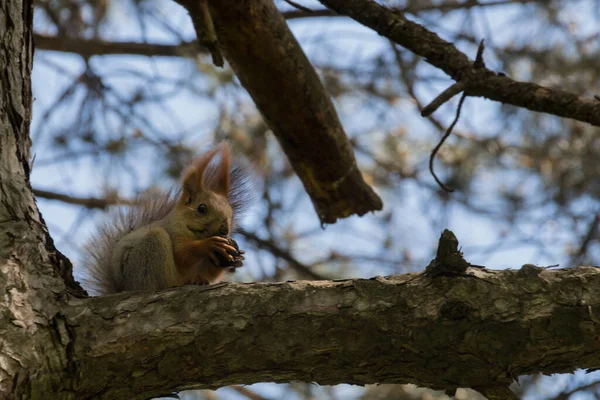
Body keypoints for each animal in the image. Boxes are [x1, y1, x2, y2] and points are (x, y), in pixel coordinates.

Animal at [81, 142, 251, 296]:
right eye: (201, 208)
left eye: (231, 213)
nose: (224, 229)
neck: (193, 232)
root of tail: (125, 288)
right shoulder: (173, 231)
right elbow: (182, 253)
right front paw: (208, 245)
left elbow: (210, 272)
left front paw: (237, 257)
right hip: (151, 249)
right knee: (162, 283)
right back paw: (185, 281)